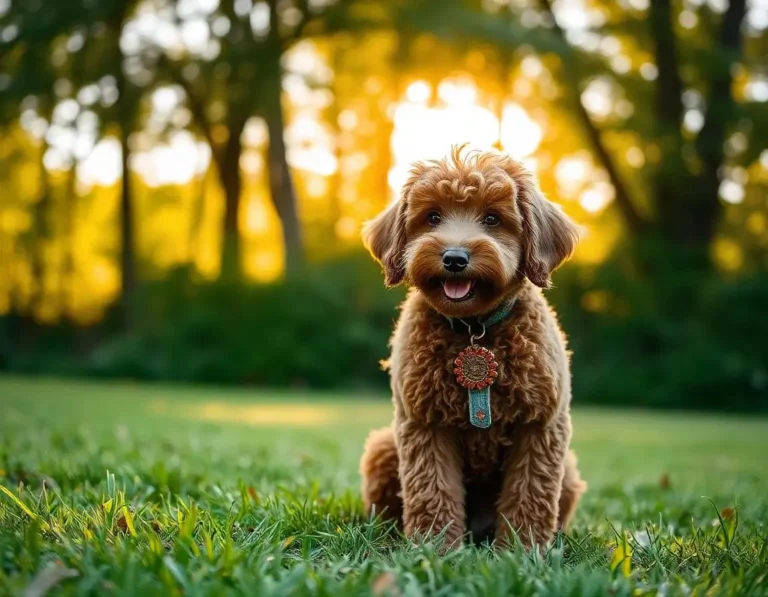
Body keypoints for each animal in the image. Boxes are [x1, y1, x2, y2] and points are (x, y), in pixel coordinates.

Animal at [356, 146, 584, 548]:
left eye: (493, 218)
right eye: (432, 216)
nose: (454, 258)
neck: (472, 329)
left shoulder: (540, 426)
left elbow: (530, 494)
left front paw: (522, 550)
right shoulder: (425, 424)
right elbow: (432, 491)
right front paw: (435, 548)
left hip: (569, 470)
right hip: (383, 447)